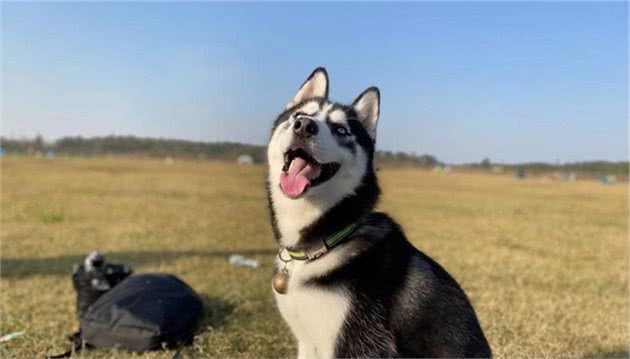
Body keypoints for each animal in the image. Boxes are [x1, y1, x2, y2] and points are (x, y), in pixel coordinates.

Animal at [266, 68, 494, 359]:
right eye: (299, 115)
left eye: (341, 129)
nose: (304, 126)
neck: (325, 241)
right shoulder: (307, 340)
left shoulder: (355, 343)